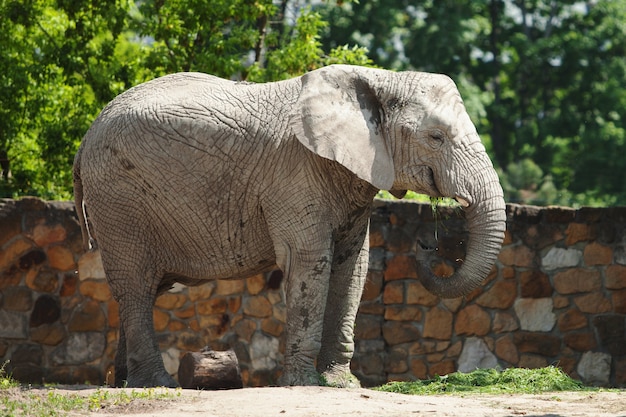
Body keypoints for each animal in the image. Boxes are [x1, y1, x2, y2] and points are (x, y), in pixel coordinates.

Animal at [73, 64, 504, 386]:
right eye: (436, 137)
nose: (426, 245)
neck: (378, 79)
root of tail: (85, 138)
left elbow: (353, 265)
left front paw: (341, 385)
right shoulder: (296, 174)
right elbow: (309, 262)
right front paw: (303, 384)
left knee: (140, 292)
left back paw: (124, 382)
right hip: (118, 200)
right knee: (137, 287)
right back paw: (157, 384)